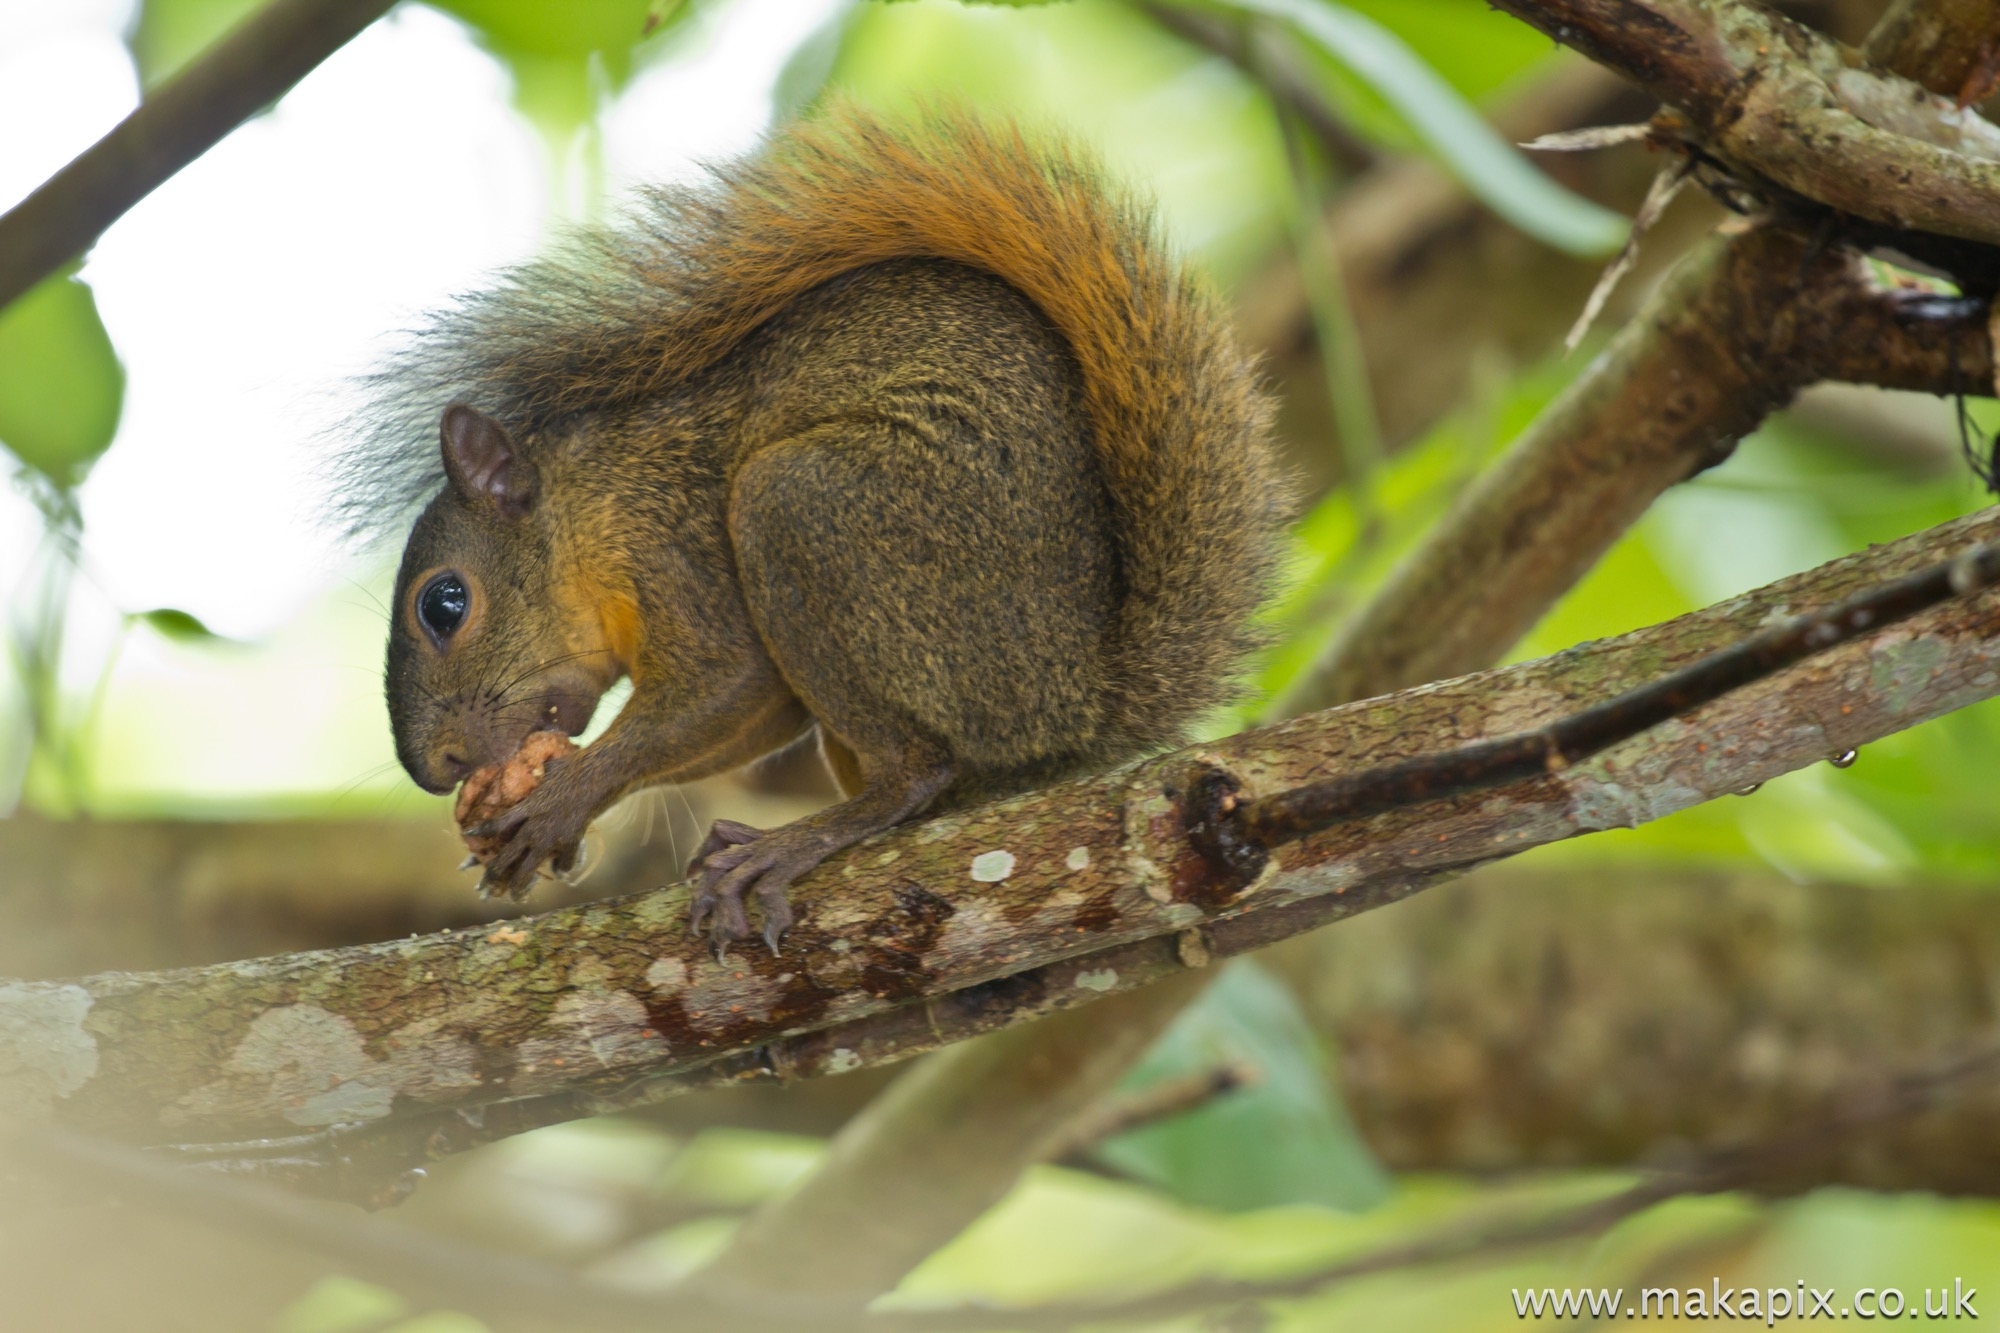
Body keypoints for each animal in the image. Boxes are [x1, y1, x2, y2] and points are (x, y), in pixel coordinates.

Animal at [344, 109, 1280, 948]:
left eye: (444, 604)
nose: (438, 768)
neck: (594, 504)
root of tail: (1083, 699)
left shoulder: (672, 537)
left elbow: (728, 677)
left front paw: (564, 802)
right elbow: (753, 711)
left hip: (803, 509)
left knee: (917, 772)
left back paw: (792, 844)